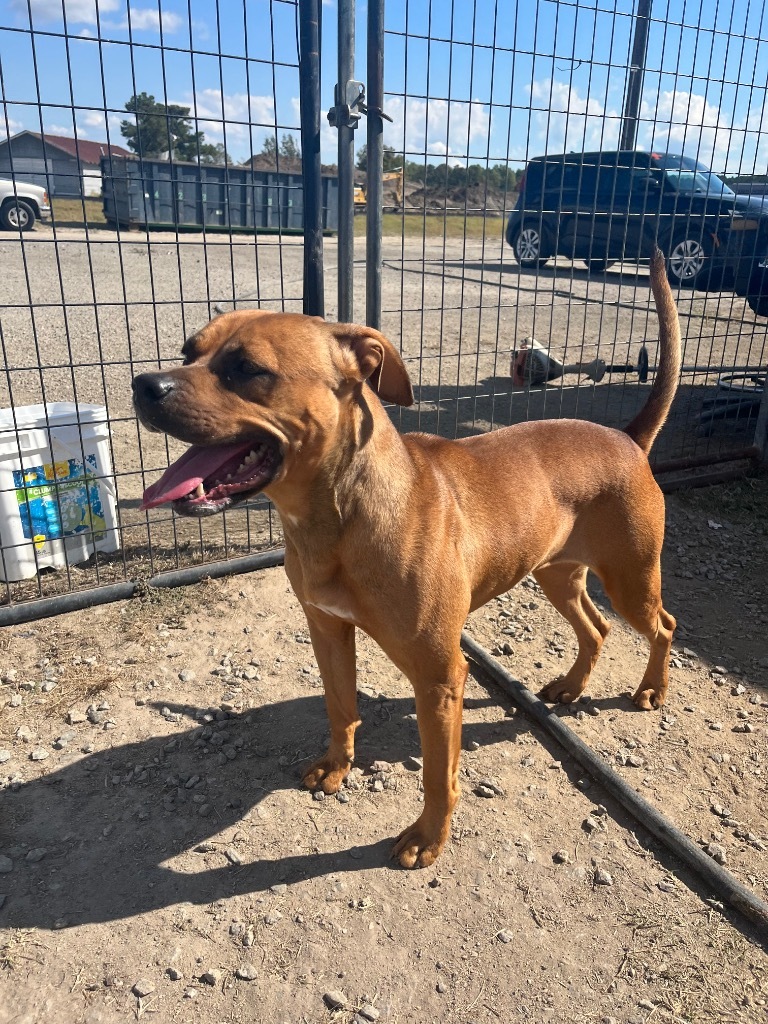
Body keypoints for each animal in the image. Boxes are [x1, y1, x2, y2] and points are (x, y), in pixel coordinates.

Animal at [135, 247, 684, 864]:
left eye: (247, 368)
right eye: (189, 352)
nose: (143, 384)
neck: (338, 516)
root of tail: (627, 437)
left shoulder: (439, 675)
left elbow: (438, 774)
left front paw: (428, 837)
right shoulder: (328, 631)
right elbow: (341, 707)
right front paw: (337, 766)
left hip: (630, 580)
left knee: (663, 625)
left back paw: (651, 689)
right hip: (557, 574)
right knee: (597, 627)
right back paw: (571, 686)